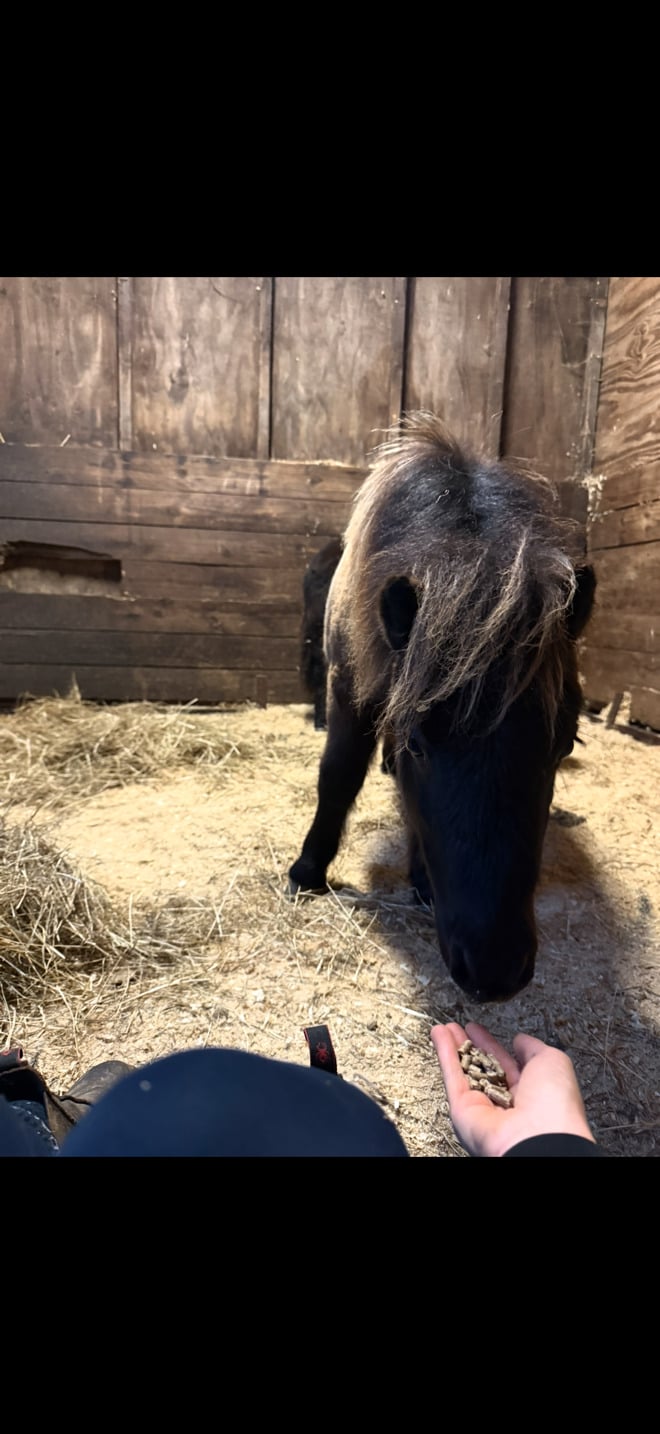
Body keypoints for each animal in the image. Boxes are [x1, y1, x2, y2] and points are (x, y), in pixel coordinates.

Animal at [289, 413, 596, 1003]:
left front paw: (423, 880)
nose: (495, 969)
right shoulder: (347, 690)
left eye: (563, 744)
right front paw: (308, 869)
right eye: (419, 745)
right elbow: (338, 776)